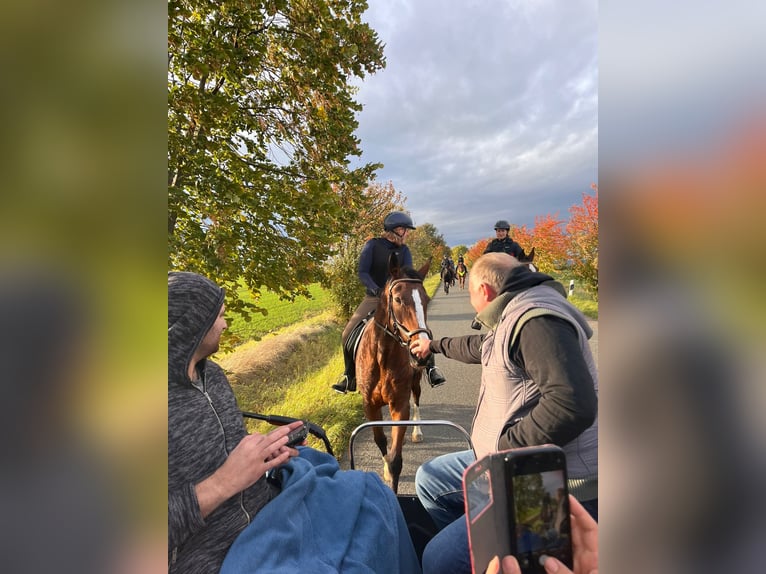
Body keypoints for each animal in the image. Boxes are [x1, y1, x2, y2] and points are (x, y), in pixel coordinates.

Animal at [358, 256, 436, 496]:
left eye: (426, 300)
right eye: (399, 299)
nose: (422, 353)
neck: (383, 356)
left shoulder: (399, 406)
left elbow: (396, 460)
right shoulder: (369, 405)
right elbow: (381, 441)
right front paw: (384, 469)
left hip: (416, 381)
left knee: (417, 401)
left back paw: (417, 432)